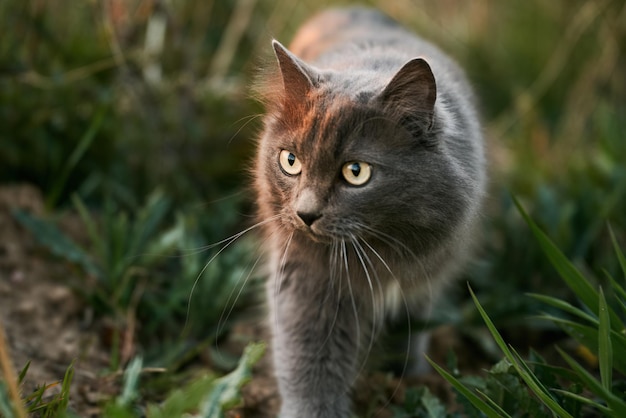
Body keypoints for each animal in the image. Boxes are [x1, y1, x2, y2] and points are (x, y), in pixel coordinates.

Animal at [251, 6, 486, 418]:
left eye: (356, 172)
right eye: (290, 161)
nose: (305, 214)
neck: (381, 249)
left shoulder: (420, 277)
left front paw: (403, 380)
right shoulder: (307, 278)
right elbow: (309, 360)